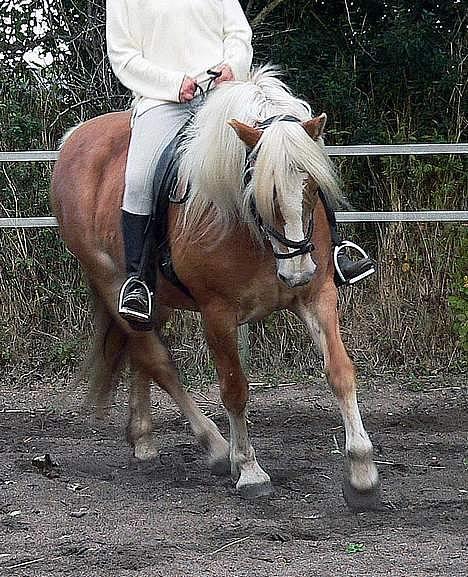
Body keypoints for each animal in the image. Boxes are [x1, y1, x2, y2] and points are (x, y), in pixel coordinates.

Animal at [51, 66, 380, 508]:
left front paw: (362, 471)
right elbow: (234, 388)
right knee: (157, 360)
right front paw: (250, 470)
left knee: (143, 355)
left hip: (158, 298)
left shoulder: (317, 295)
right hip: (110, 280)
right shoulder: (218, 314)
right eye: (260, 186)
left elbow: (340, 371)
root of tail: (74, 137)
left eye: (312, 185)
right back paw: (215, 445)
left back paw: (144, 439)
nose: (295, 271)